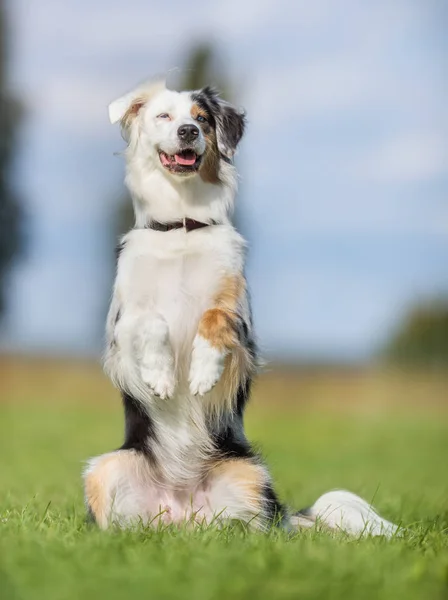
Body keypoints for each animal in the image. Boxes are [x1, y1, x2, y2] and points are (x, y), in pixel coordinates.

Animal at [82, 78, 398, 536]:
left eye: (201, 119)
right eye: (164, 116)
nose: (188, 132)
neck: (182, 226)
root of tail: (182, 515)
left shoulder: (241, 316)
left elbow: (214, 317)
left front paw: (202, 372)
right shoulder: (122, 325)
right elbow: (152, 323)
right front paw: (161, 377)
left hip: (251, 478)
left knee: (260, 532)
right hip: (104, 470)